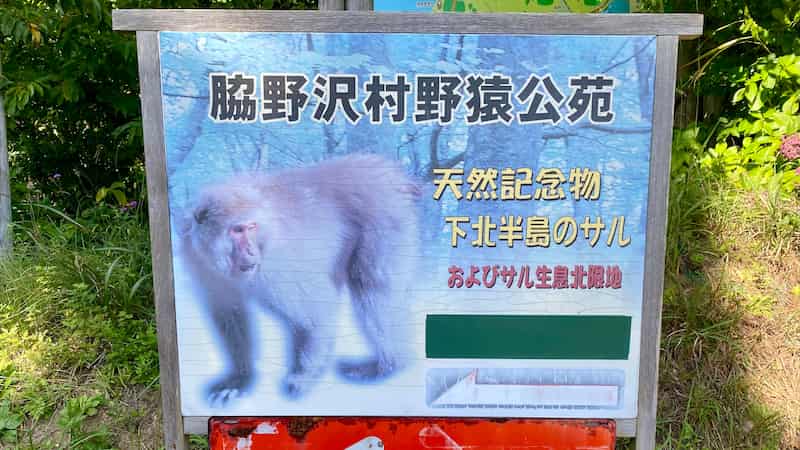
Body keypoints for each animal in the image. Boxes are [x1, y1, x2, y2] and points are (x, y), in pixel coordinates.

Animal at [178, 154, 420, 406]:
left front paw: (303, 376)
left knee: (372, 288)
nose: (252, 252)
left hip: (385, 221)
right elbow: (229, 312)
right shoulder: (200, 264)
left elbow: (316, 310)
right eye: (237, 230)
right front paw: (239, 379)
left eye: (251, 227)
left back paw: (391, 365)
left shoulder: (275, 265)